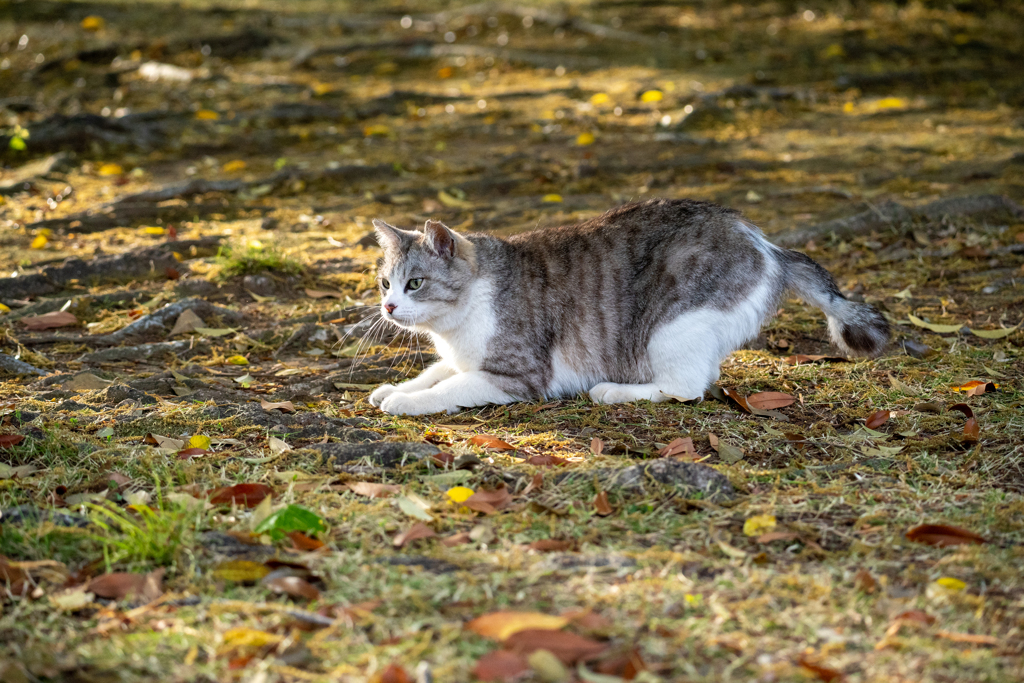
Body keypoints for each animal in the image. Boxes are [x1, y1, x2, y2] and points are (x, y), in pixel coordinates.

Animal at [366, 194, 888, 413]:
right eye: (385, 284)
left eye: (415, 284)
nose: (389, 308)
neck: (455, 327)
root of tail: (766, 244)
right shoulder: (462, 358)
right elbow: (435, 372)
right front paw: (393, 388)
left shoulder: (517, 376)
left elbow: (449, 387)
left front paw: (405, 402)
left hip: (671, 325)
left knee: (687, 387)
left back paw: (612, 391)